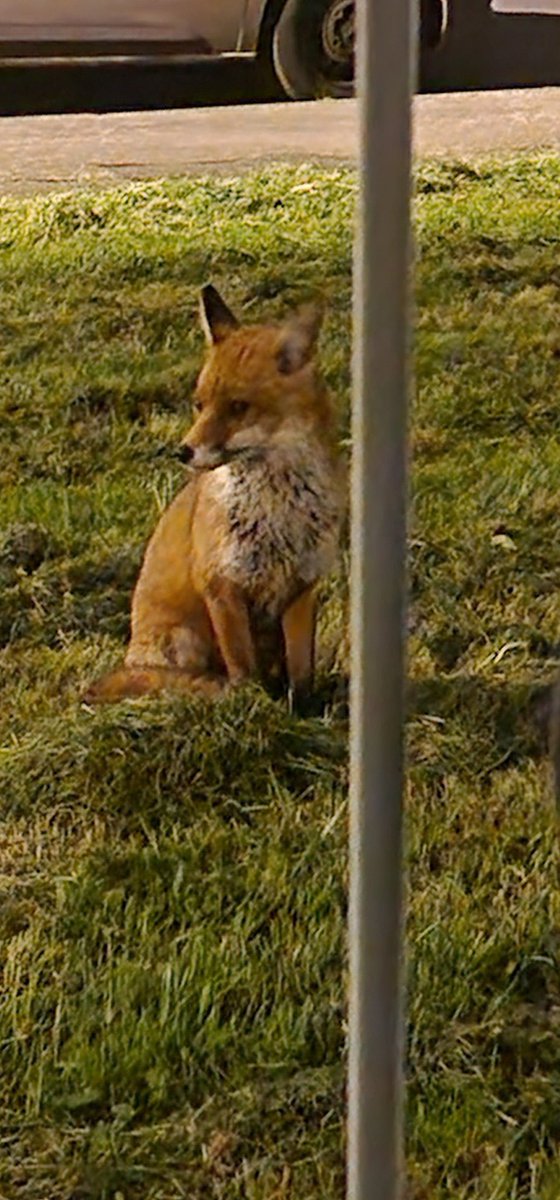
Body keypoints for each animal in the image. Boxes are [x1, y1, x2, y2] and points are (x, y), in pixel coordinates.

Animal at [83, 288, 345, 700]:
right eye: (199, 404)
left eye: (239, 407)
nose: (183, 451)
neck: (277, 515)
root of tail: (132, 654)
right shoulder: (222, 586)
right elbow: (242, 668)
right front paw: (252, 703)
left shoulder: (302, 587)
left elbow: (303, 673)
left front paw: (305, 709)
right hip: (181, 638)